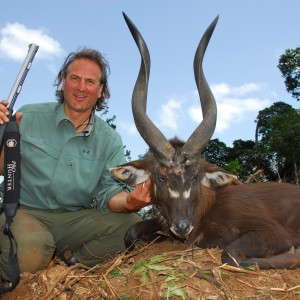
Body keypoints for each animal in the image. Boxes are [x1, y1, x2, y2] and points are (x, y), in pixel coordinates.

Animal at [109, 13, 300, 270]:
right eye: (161, 177)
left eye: (194, 177)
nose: (182, 226)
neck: (209, 208)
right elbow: (130, 233)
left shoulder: (274, 232)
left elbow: (230, 254)